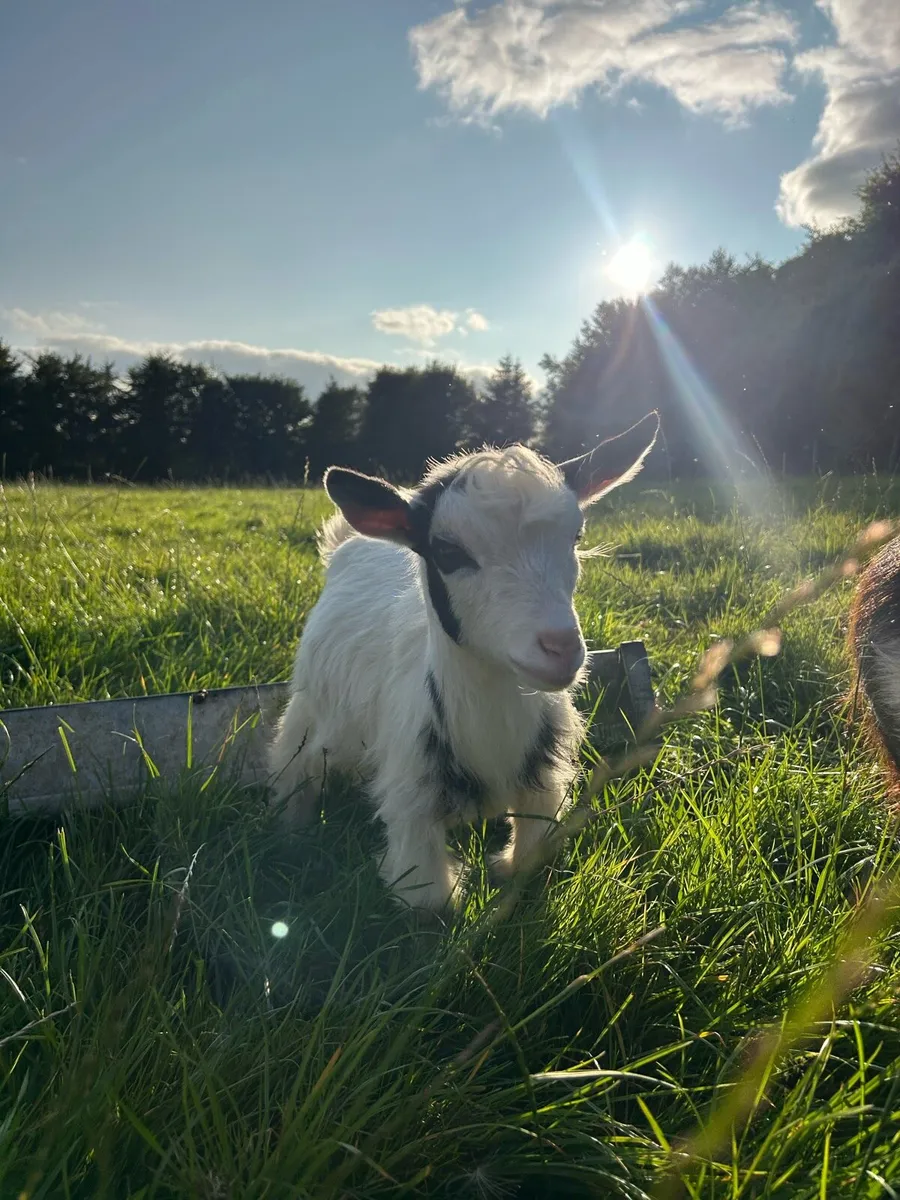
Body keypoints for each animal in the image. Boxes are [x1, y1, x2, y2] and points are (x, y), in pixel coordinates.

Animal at [268, 412, 660, 910]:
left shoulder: (542, 784)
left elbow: (528, 863)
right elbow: (428, 904)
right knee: (293, 761)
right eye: (449, 552)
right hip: (311, 706)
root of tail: (353, 541)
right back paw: (291, 831)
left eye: (576, 536)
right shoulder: (412, 805)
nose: (561, 648)